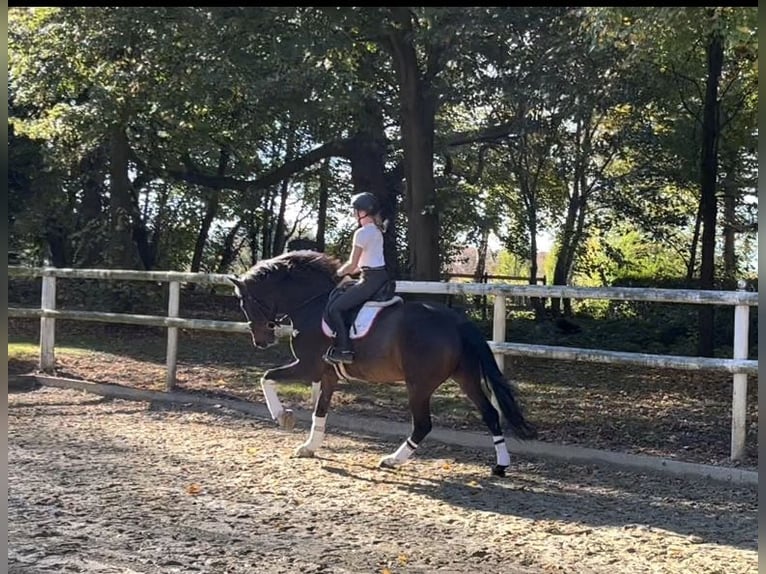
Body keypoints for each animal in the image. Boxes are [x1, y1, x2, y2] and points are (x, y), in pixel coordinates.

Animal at [231, 251, 536, 476]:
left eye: (244, 303)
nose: (261, 340)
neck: (311, 304)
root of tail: (457, 321)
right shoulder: (327, 374)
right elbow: (321, 410)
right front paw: (309, 447)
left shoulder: (308, 366)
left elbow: (266, 376)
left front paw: (283, 417)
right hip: (466, 377)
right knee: (490, 414)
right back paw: (500, 466)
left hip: (419, 385)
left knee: (423, 424)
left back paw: (392, 460)